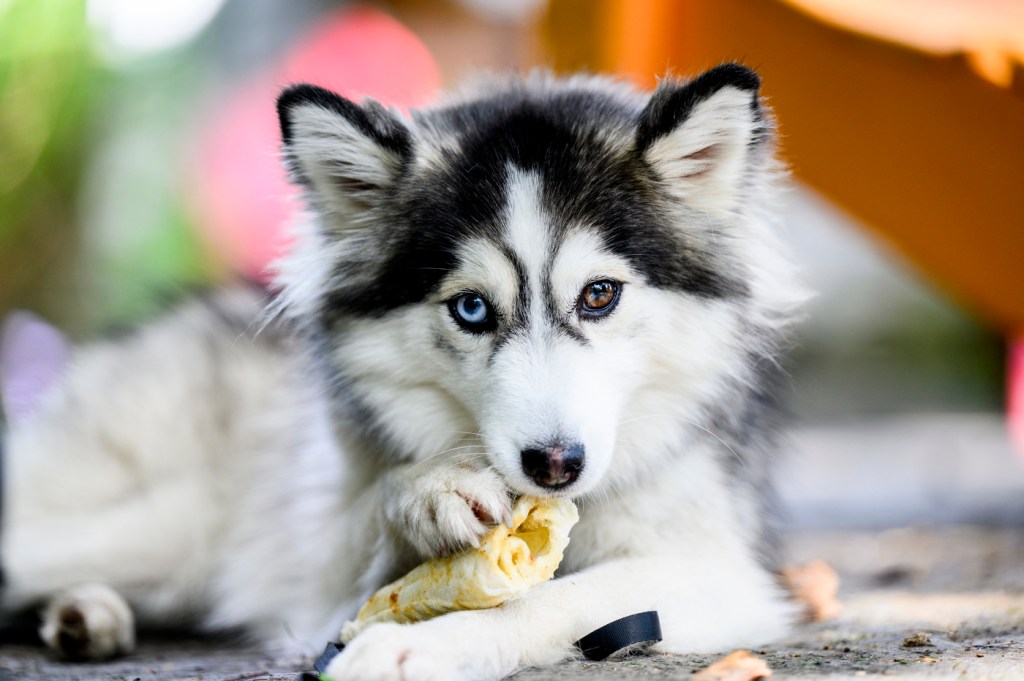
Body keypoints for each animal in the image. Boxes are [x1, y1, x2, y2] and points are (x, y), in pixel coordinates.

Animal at [0, 62, 802, 675]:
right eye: (472, 309)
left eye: (599, 295)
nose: (554, 465)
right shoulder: (313, 573)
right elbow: (368, 519)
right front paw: (426, 493)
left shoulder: (718, 570)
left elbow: (561, 597)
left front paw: (427, 644)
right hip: (164, 523)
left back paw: (85, 614)